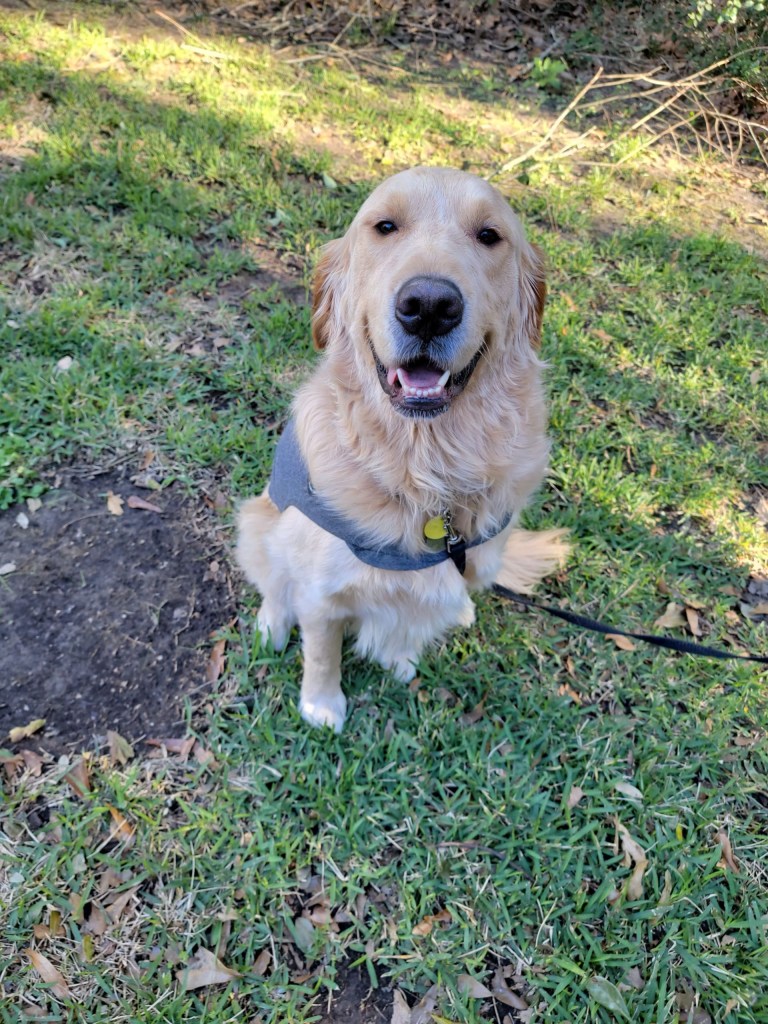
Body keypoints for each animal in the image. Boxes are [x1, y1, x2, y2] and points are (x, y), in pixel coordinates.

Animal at [236, 166, 567, 732]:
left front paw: (399, 659)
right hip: (260, 521)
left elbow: (410, 623)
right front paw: (321, 705)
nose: (429, 306)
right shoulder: (320, 591)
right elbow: (321, 651)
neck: (425, 468)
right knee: (273, 583)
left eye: (489, 235)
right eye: (384, 226)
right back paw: (271, 626)